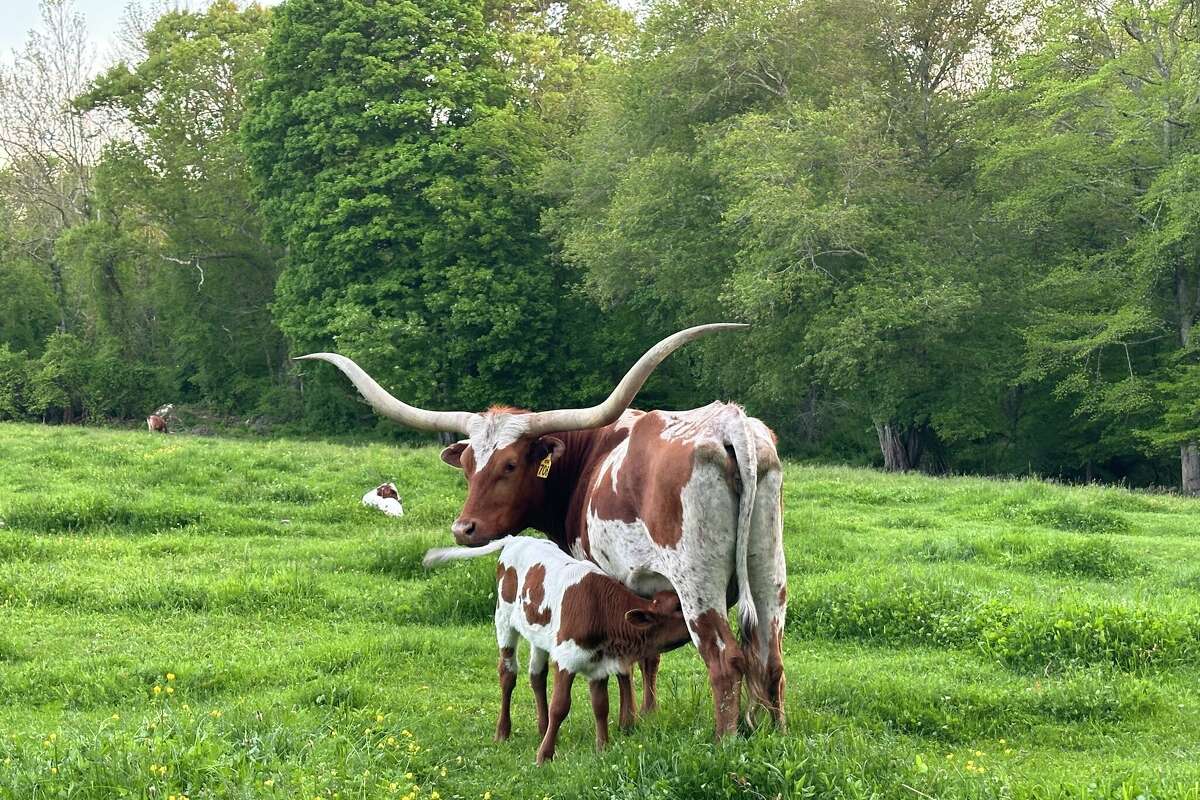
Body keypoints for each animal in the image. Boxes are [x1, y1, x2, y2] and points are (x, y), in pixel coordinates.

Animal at [297, 321, 787, 734]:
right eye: (468, 464)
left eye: (511, 464)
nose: (464, 529)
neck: (591, 458)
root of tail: (730, 424)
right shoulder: (649, 589)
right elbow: (647, 657)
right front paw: (643, 717)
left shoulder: (609, 578)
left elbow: (625, 661)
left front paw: (624, 723)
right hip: (768, 574)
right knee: (770, 657)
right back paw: (773, 735)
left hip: (697, 582)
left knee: (725, 661)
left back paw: (725, 741)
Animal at [424, 537, 691, 762]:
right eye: (679, 608)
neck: (601, 608)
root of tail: (515, 538)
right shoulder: (566, 659)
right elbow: (560, 706)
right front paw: (544, 755)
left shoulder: (598, 664)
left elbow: (601, 706)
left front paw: (602, 748)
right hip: (504, 620)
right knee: (508, 674)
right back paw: (503, 732)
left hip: (539, 636)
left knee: (536, 676)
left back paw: (542, 727)